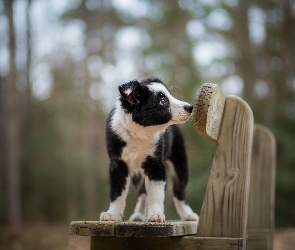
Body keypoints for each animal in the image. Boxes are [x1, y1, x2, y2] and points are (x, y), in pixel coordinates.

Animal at [100, 77, 200, 222]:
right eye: (162, 101)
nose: (190, 107)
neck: (139, 132)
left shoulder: (155, 164)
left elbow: (155, 192)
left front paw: (156, 214)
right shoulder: (118, 163)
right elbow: (117, 191)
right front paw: (112, 214)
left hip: (179, 160)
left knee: (179, 190)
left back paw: (188, 214)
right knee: (142, 193)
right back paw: (138, 215)